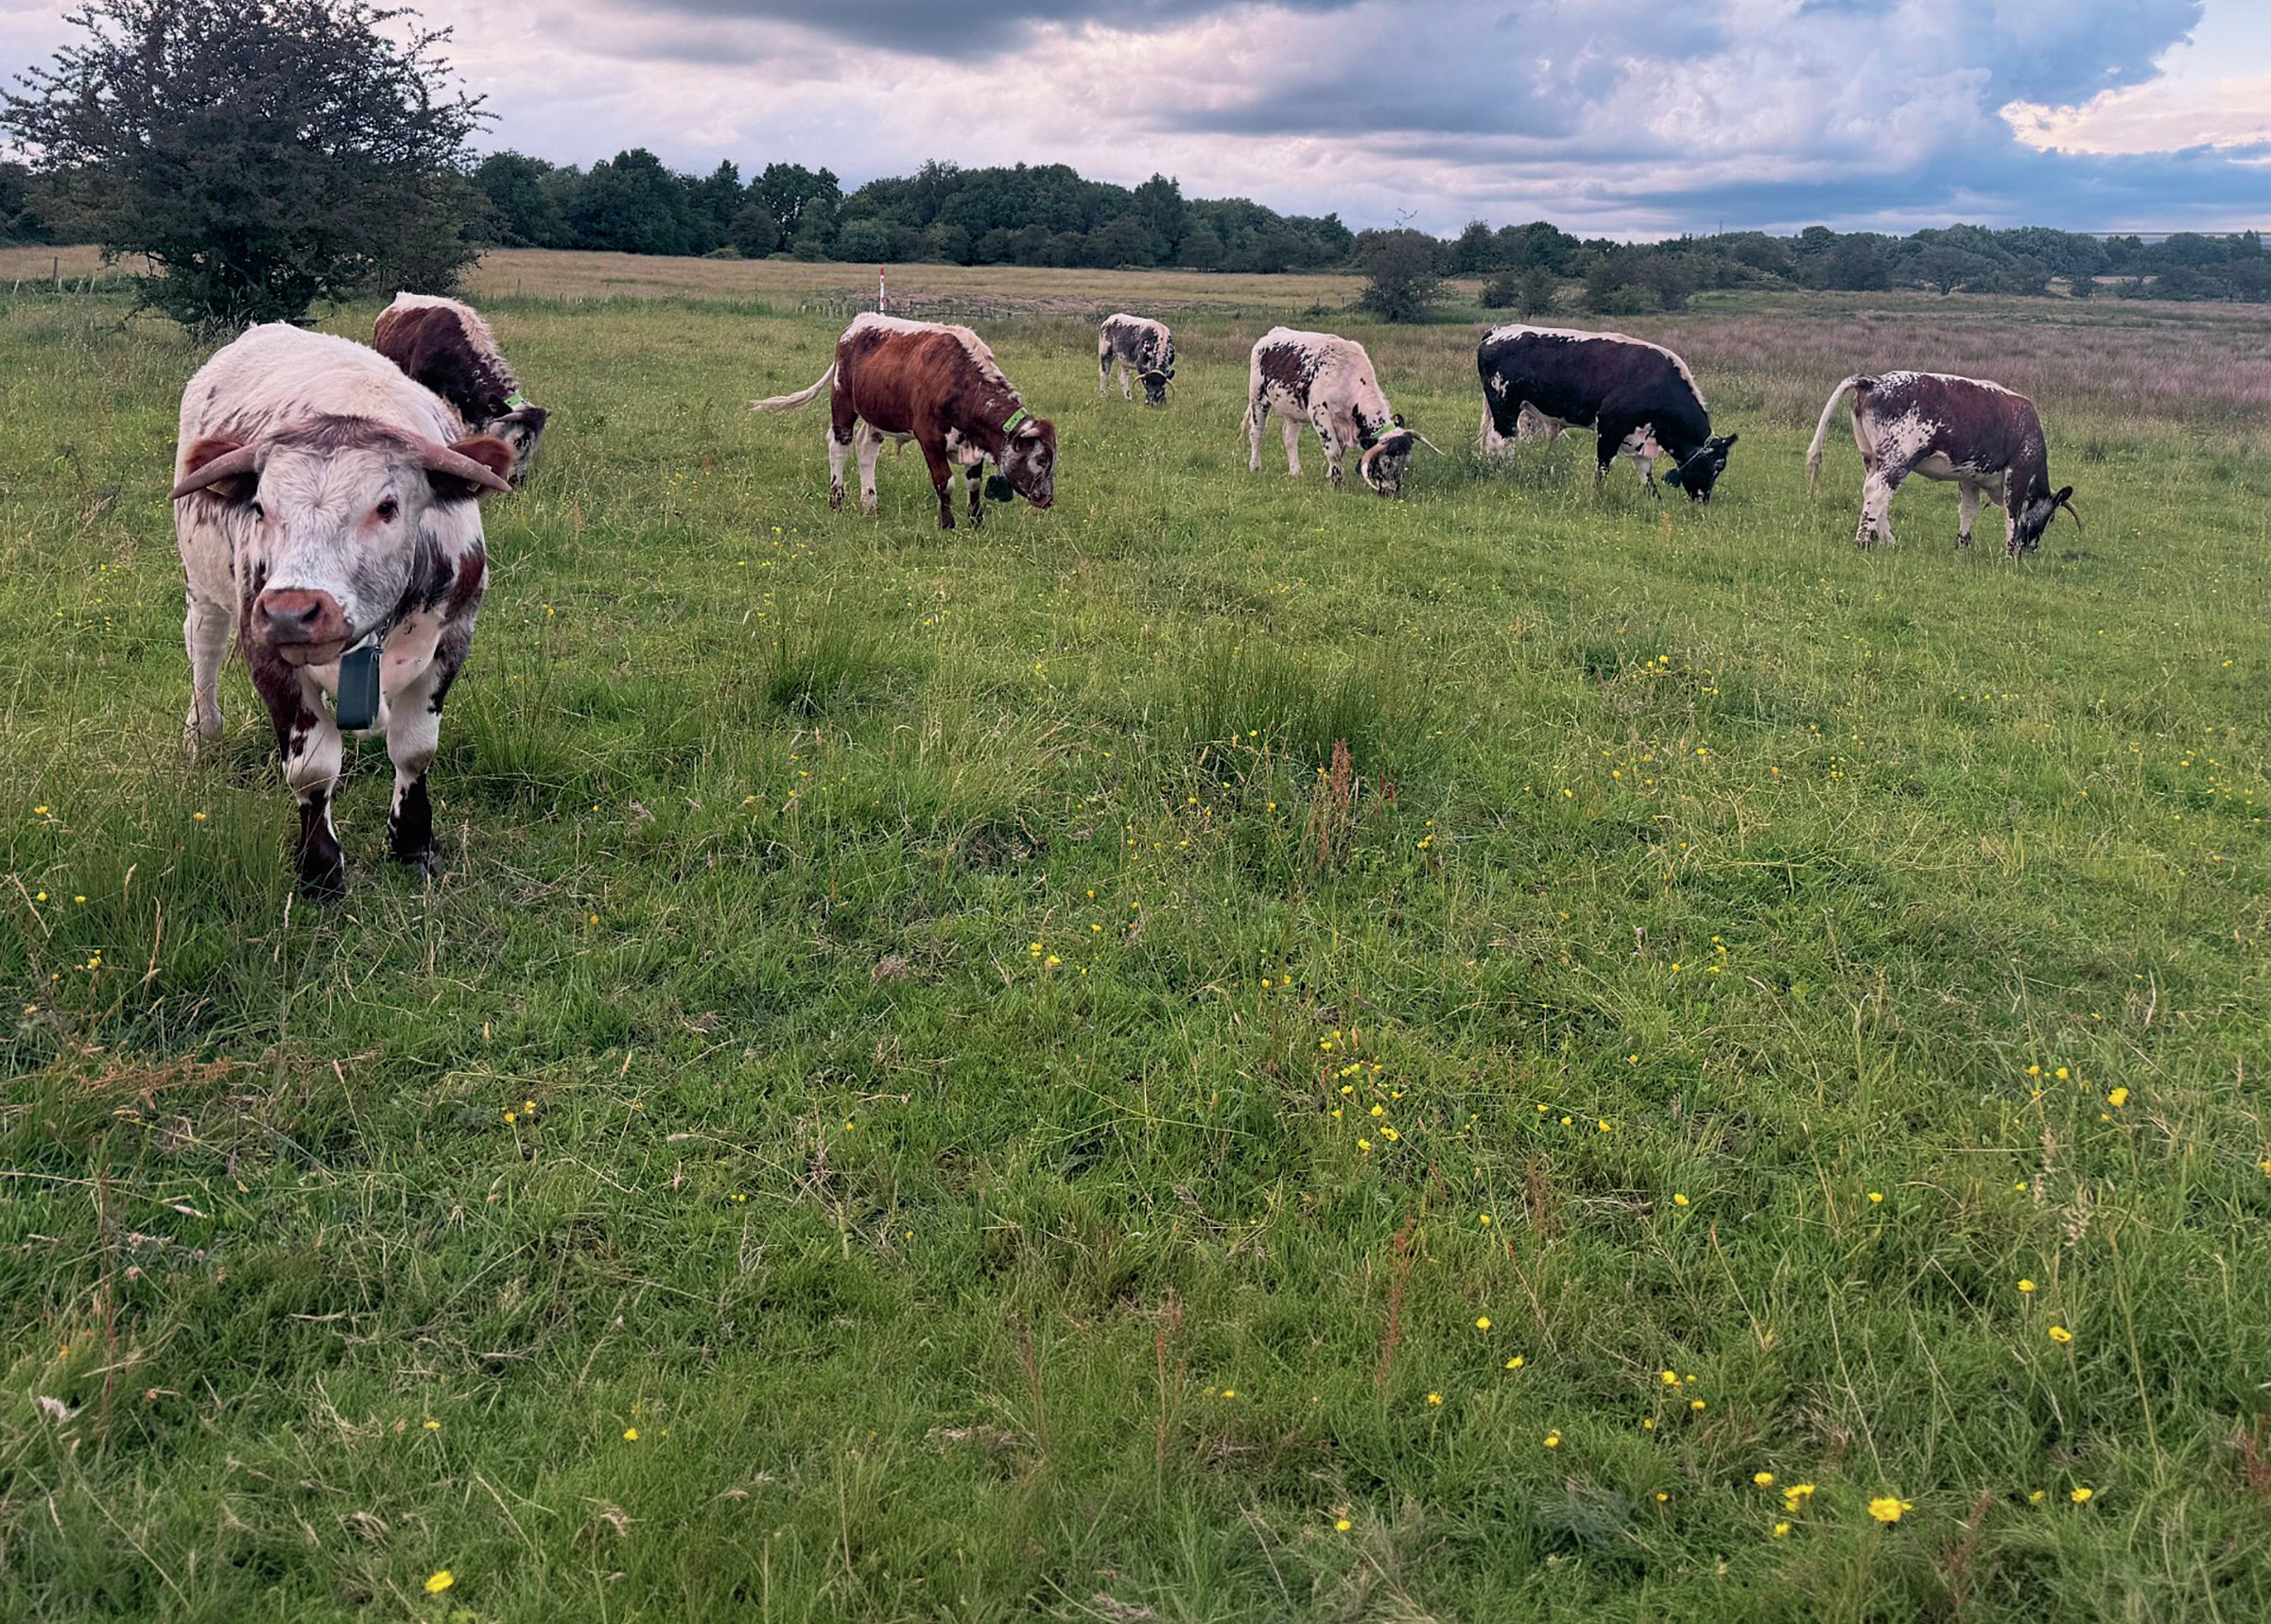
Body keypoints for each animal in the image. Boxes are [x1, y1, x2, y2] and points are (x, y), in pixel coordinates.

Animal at [172, 324, 514, 898]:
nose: (291, 612)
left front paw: (412, 842)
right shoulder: (266, 652)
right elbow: (311, 767)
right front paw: (320, 867)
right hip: (203, 587)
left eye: (387, 506)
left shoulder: (453, 640)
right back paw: (204, 733)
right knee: (204, 648)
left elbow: (414, 748)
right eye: (260, 507)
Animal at [750, 312, 1056, 530]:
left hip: (876, 413)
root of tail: (859, 322)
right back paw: (837, 500)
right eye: (1040, 459)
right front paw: (947, 524)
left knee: (866, 448)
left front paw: (975, 522)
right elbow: (945, 483)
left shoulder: (974, 442)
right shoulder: (929, 437)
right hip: (842, 400)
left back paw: (870, 503)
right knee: (839, 444)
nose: (1047, 498)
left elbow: (973, 485)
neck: (959, 379)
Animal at [1244, 326, 1419, 496]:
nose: (1392, 491)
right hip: (1258, 397)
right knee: (1256, 432)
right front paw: (1336, 481)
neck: (1346, 376)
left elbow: (1340, 451)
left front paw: (1331, 475)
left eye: (1406, 463)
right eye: (1387, 462)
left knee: (1289, 438)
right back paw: (1255, 466)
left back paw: (1295, 471)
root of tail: (1273, 332)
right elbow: (1333, 451)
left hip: (1292, 409)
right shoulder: (1320, 415)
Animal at [1475, 324, 1736, 501]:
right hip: (1505, 407)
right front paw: (1597, 496)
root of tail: (1498, 331)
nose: (1702, 500)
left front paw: (1655, 502)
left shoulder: (1641, 439)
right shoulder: (1610, 426)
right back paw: (1508, 472)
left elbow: (1646, 476)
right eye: (1717, 465)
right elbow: (1603, 466)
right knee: (1503, 442)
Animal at [1806, 371, 2078, 554]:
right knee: (1877, 490)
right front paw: (2010, 552)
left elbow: (1968, 509)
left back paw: (1886, 539)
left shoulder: (1970, 476)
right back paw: (1863, 540)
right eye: (2050, 518)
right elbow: (2012, 513)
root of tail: (1874, 381)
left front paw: (1963, 544)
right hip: (1899, 459)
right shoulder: (2018, 473)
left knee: (1876, 493)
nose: (2030, 548)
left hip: (1873, 458)